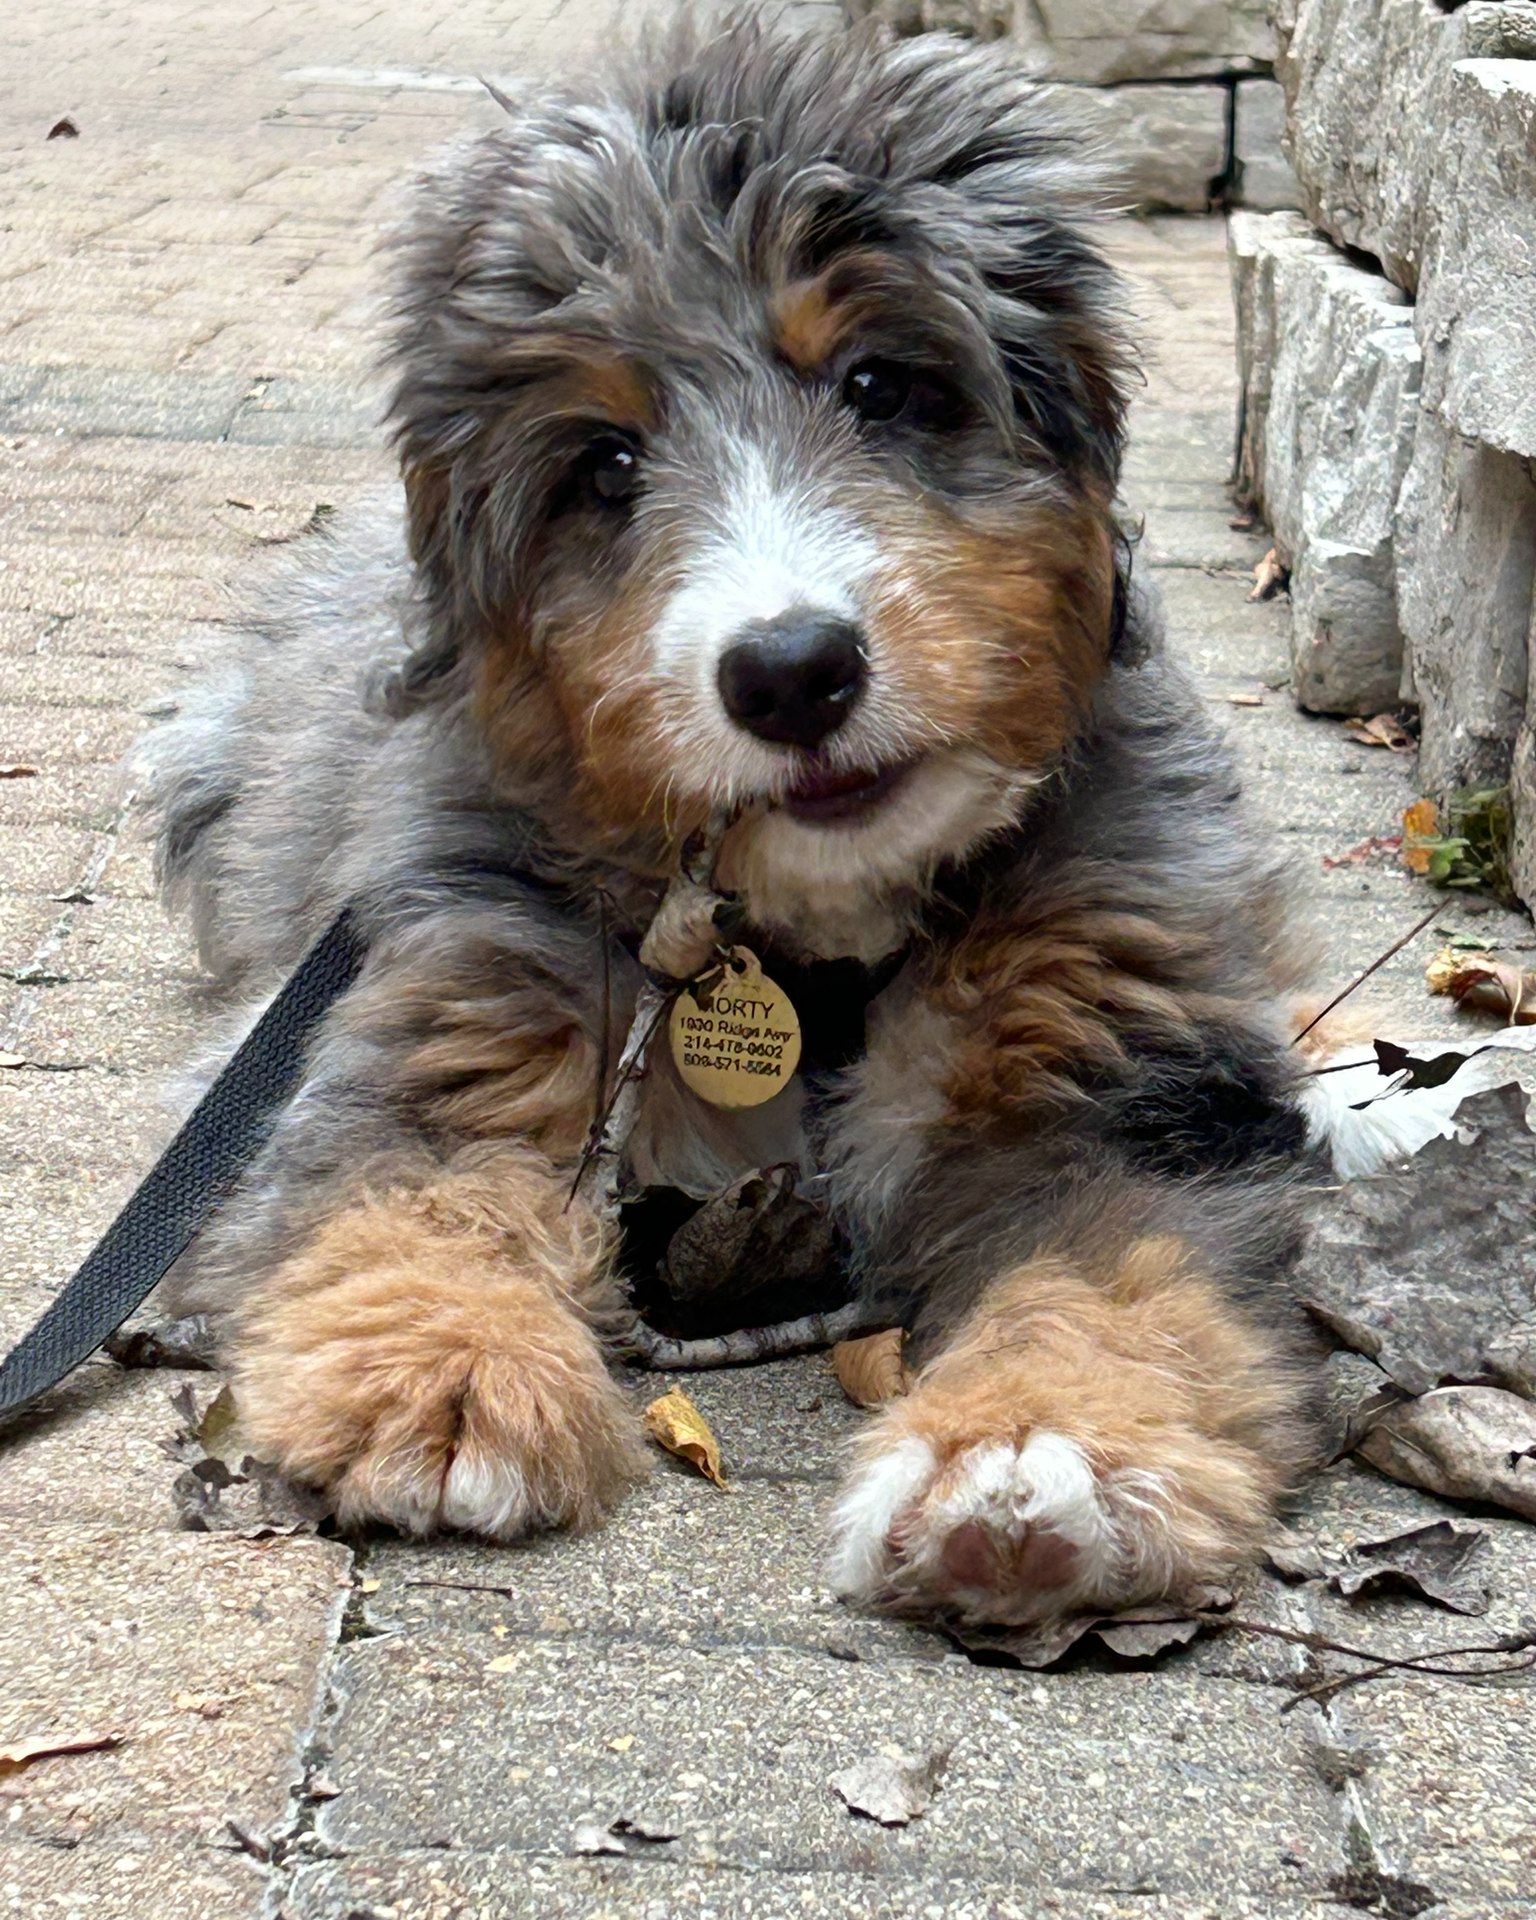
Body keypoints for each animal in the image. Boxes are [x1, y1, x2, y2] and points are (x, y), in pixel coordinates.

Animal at [138, 11, 1351, 1620]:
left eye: (883, 387)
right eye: (605, 464)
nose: (791, 671)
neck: (804, 941)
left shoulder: (1127, 1085)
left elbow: (1117, 1264)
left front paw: (1045, 1447)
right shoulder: (437, 992)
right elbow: (413, 1171)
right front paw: (442, 1365)